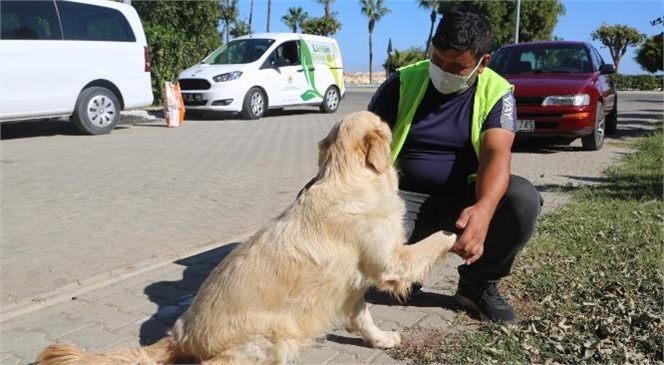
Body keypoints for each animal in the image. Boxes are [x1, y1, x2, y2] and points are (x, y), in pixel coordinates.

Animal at [36, 111, 456, 364]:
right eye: (386, 124)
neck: (343, 176)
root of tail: (181, 334)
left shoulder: (351, 288)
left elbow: (363, 319)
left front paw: (381, 338)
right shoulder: (391, 263)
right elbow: (434, 241)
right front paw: (456, 231)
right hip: (272, 336)